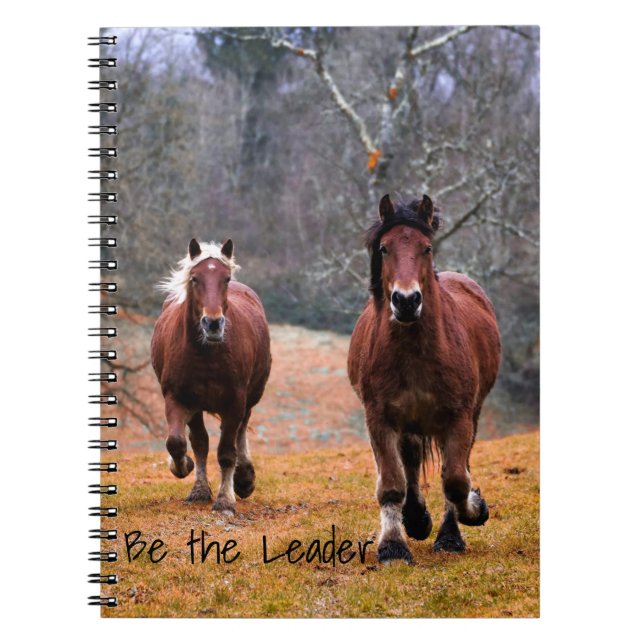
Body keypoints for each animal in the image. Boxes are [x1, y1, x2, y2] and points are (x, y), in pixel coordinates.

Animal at [151, 238, 271, 515]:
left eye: (225, 278)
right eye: (195, 278)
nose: (213, 324)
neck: (205, 354)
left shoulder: (235, 402)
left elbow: (226, 452)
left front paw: (226, 499)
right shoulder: (177, 399)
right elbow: (179, 442)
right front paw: (184, 468)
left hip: (250, 398)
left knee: (240, 432)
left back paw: (244, 479)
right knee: (200, 442)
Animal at [348, 194, 501, 563]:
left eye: (426, 248)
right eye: (385, 248)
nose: (406, 301)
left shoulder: (459, 417)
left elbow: (456, 480)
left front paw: (474, 511)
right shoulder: (380, 418)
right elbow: (392, 483)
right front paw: (393, 545)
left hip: (467, 416)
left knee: (452, 467)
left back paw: (447, 533)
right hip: (410, 423)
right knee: (412, 463)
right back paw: (415, 519)